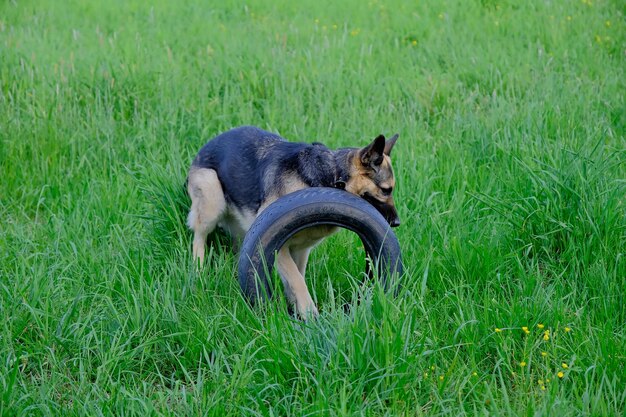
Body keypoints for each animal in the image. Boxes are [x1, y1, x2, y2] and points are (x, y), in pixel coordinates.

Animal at [186, 125, 400, 316]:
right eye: (386, 190)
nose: (397, 222)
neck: (332, 177)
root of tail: (205, 148)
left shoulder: (300, 250)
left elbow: (296, 278)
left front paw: (296, 309)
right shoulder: (279, 248)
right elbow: (297, 280)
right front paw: (309, 313)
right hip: (212, 196)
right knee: (199, 237)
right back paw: (198, 270)